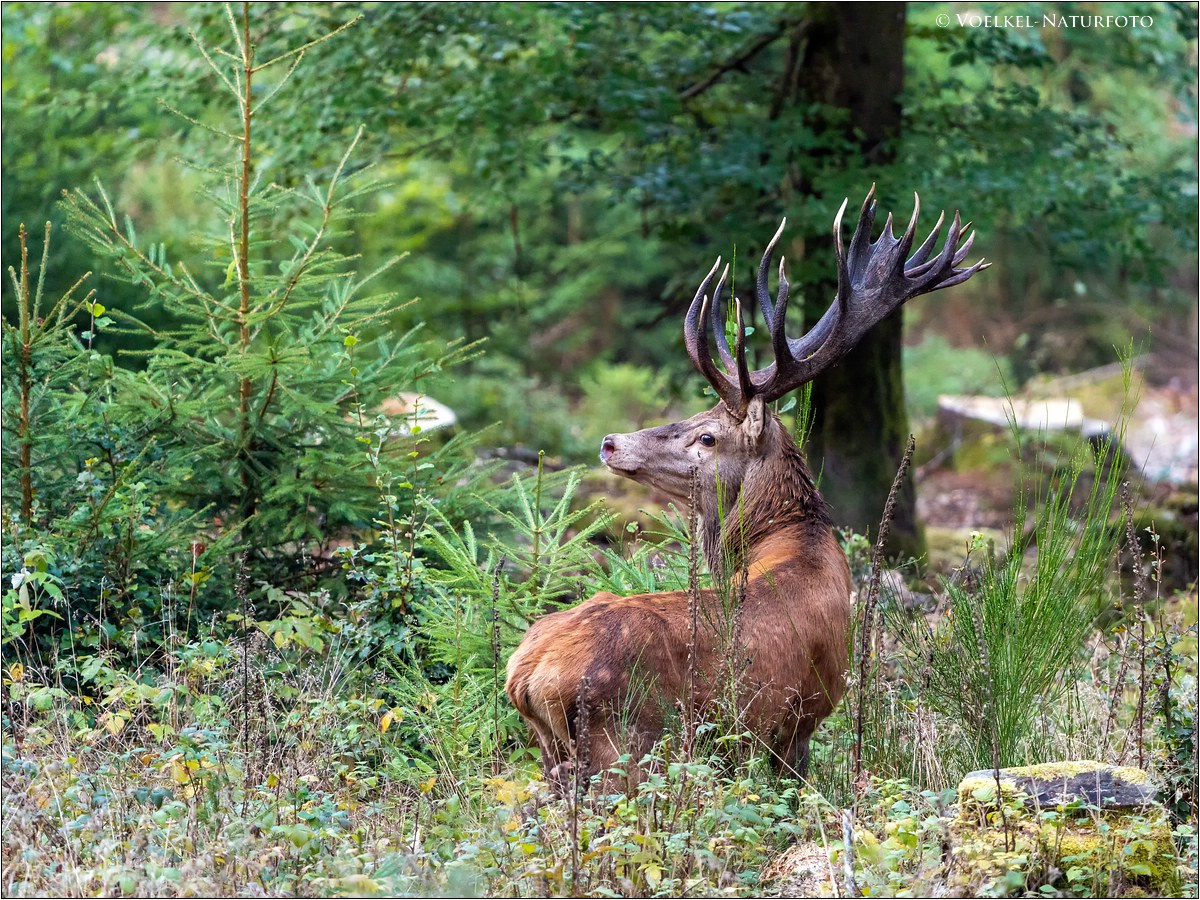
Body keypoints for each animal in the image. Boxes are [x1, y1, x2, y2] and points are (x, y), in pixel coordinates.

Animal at [504, 187, 984, 792]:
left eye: (705, 432)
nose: (611, 442)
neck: (797, 541)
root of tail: (525, 675)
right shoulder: (803, 713)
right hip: (627, 749)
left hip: (559, 753)